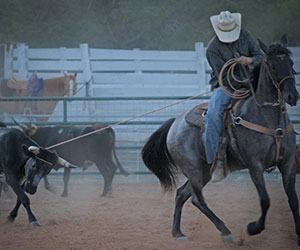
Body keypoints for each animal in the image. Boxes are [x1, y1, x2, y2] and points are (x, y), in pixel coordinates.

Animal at [141, 36, 300, 245]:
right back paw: (226, 232)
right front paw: (253, 228)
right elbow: (265, 200)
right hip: (193, 169)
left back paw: (178, 232)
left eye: (291, 63)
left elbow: (293, 200)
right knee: (197, 199)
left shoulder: (288, 163)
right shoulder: (254, 165)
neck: (268, 119)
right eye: (272, 66)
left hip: (203, 171)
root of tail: (175, 123)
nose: (292, 96)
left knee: (182, 194)